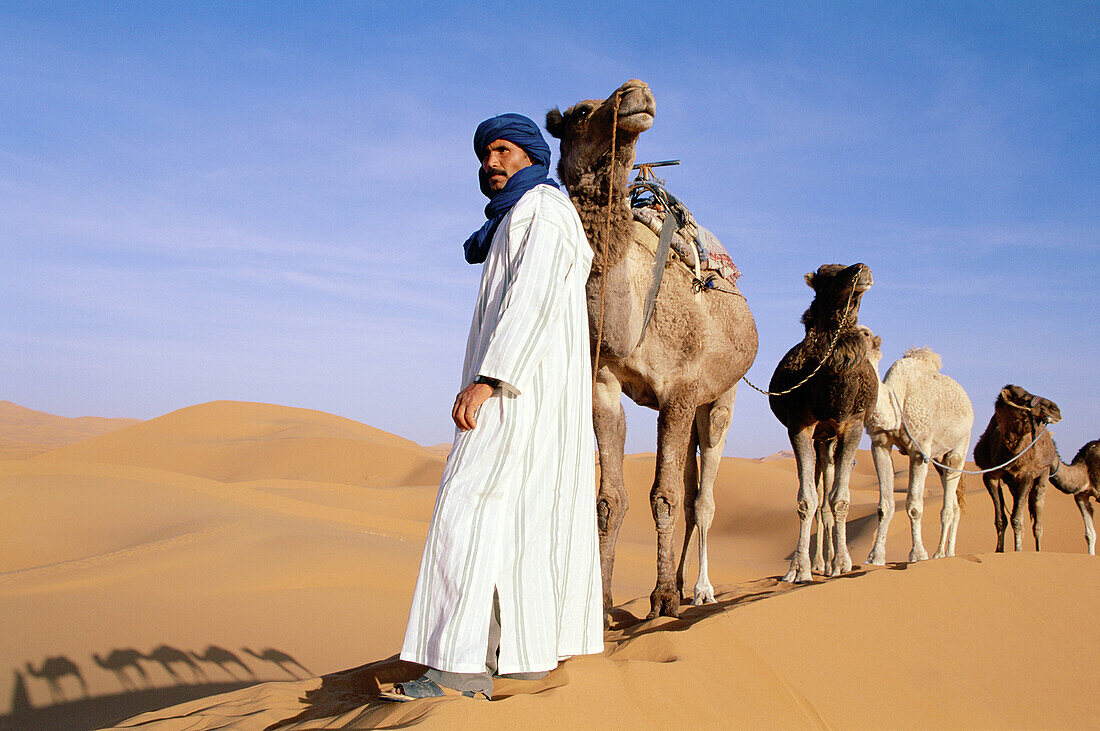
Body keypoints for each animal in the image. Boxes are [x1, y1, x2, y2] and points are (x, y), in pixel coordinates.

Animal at [541, 79, 756, 619]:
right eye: (580, 113)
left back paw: (698, 591)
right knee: (692, 489)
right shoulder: (603, 383)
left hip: (720, 398)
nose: (636, 93)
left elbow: (664, 496)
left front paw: (660, 599)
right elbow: (610, 498)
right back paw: (681, 584)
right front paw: (602, 606)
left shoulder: (680, 391)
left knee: (703, 497)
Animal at [765, 262, 875, 580]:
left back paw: (827, 564)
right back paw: (814, 565)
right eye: (826, 277)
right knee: (817, 498)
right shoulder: (799, 425)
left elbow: (840, 500)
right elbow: (806, 501)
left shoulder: (853, 425)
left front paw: (842, 563)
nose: (862, 270)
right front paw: (799, 569)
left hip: (829, 439)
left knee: (827, 500)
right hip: (819, 439)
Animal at [862, 334, 976, 558]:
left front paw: (918, 554)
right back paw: (949, 553)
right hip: (939, 458)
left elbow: (915, 507)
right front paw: (875, 556)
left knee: (949, 500)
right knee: (955, 504)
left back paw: (939, 554)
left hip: (961, 442)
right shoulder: (880, 444)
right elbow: (884, 506)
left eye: (864, 335)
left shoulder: (919, 449)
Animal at [976, 384, 1060, 549]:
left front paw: (1018, 550)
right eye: (1024, 398)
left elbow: (1016, 519)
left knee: (1038, 516)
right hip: (1012, 484)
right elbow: (1001, 519)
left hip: (1044, 473)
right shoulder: (990, 475)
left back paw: (1038, 549)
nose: (1055, 409)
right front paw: (999, 551)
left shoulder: (1025, 474)